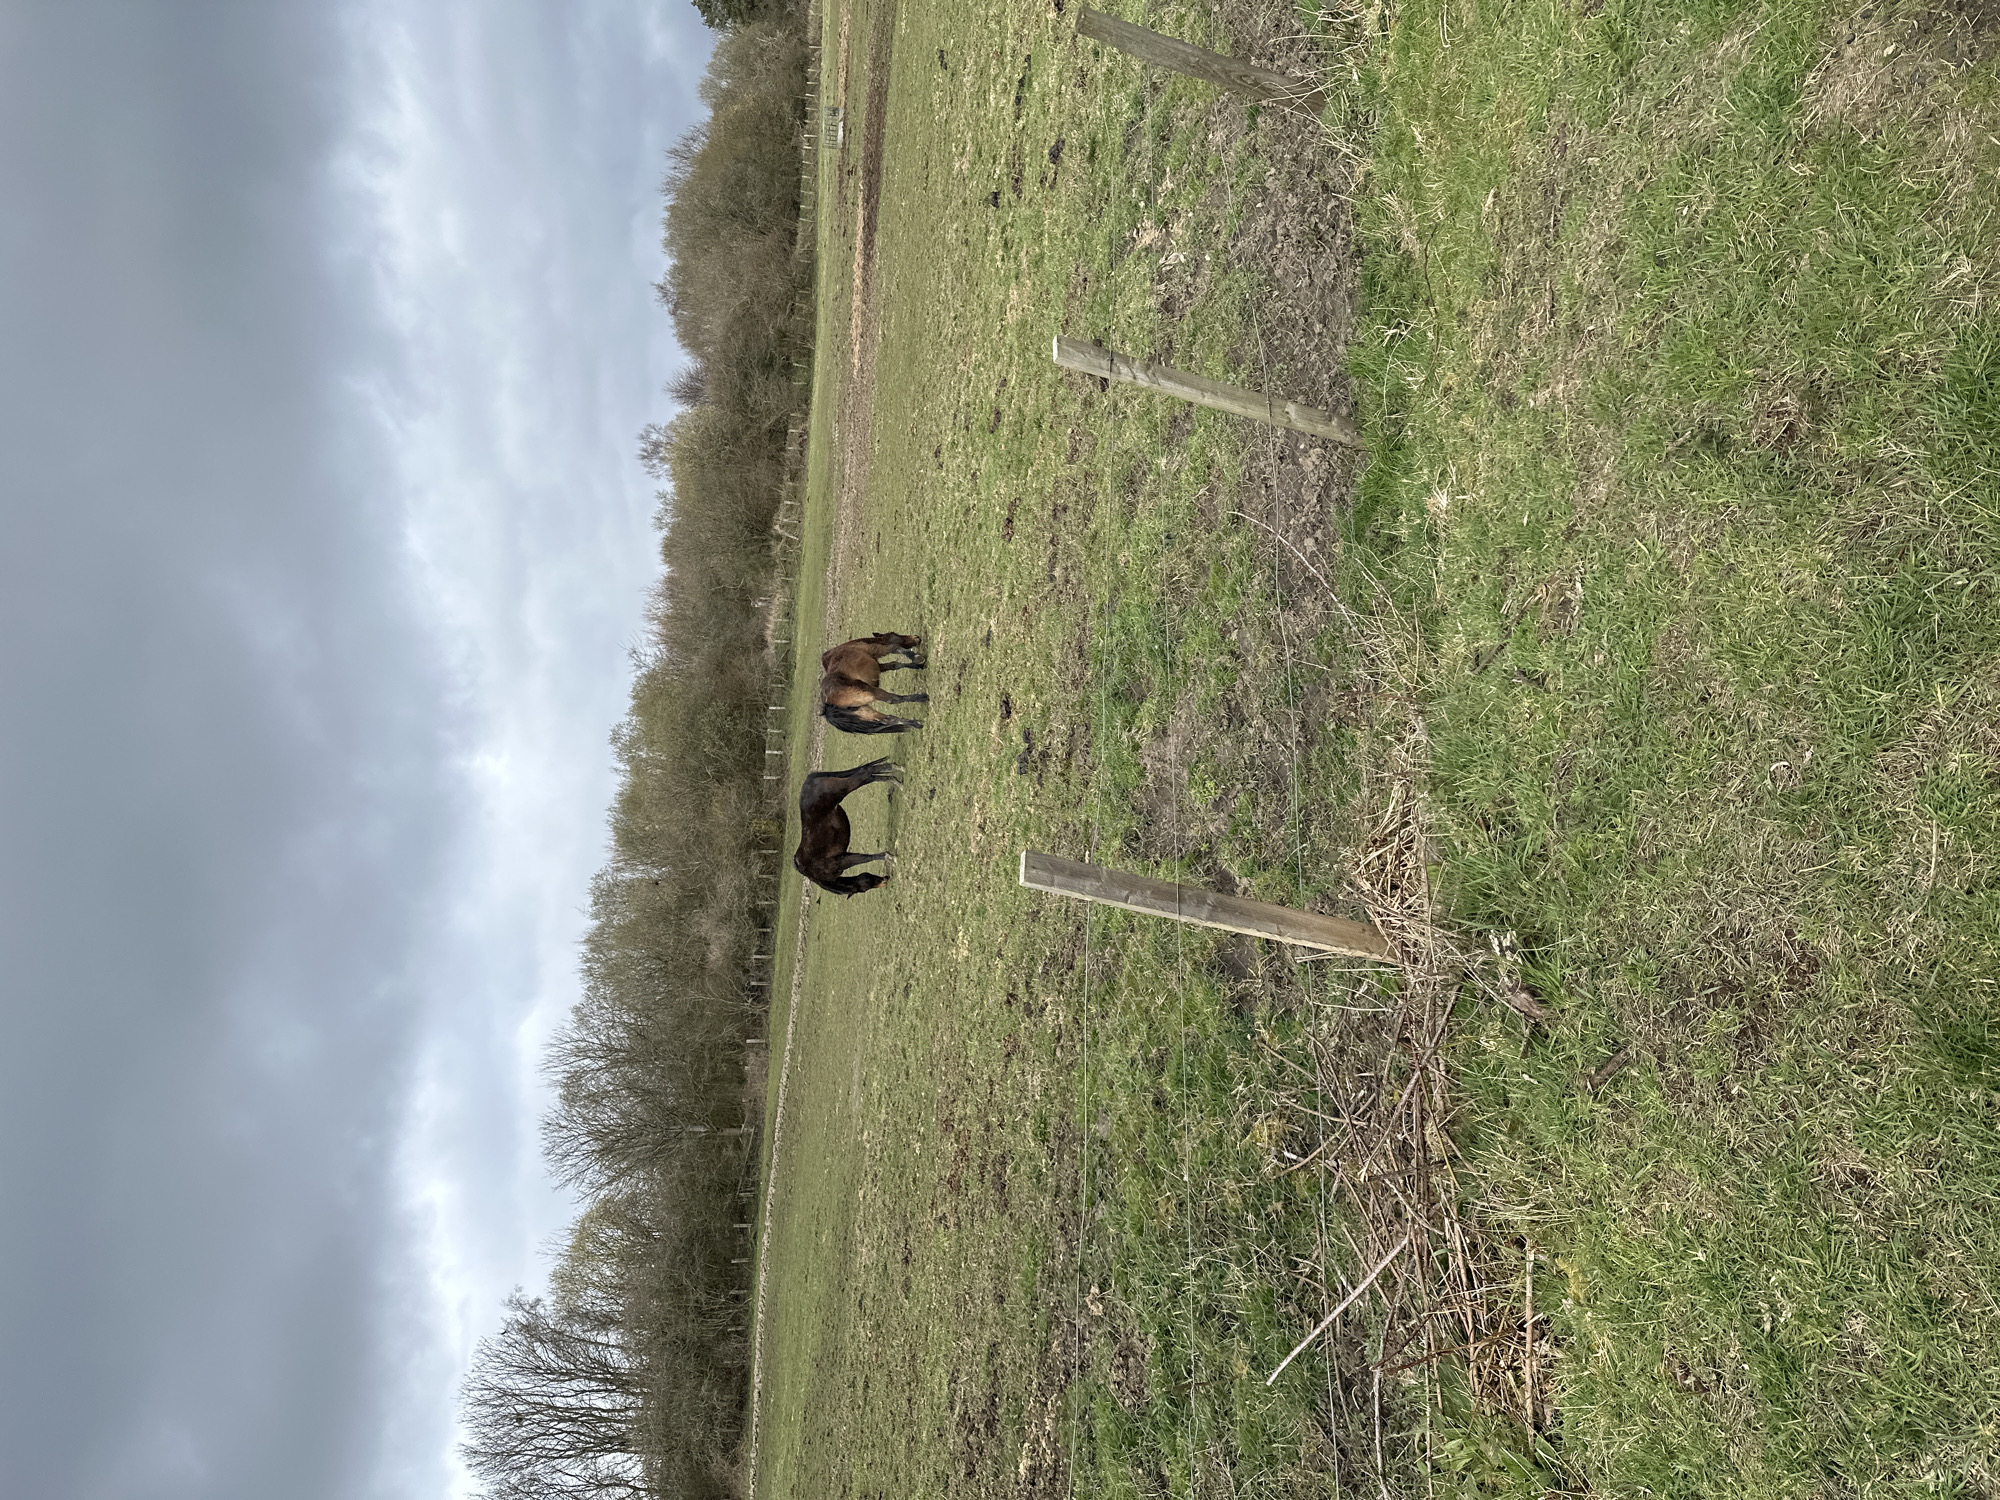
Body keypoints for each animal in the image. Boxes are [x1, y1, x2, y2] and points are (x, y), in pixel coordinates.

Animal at [793, 758, 902, 896]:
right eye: (864, 889)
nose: (885, 879)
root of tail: (809, 780)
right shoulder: (843, 857)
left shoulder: (842, 861)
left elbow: (866, 858)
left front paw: (891, 858)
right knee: (868, 774)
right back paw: (895, 773)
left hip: (844, 787)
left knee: (865, 773)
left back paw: (897, 777)